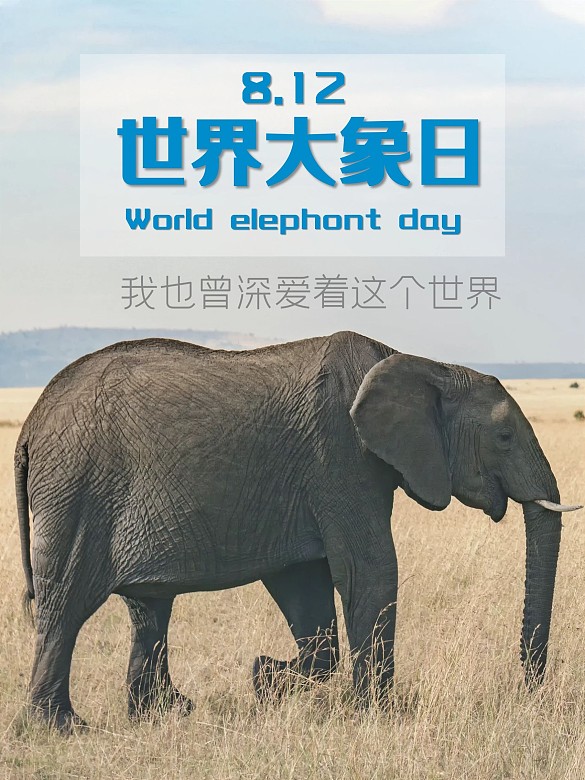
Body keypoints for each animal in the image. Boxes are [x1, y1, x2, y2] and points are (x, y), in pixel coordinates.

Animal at [15, 330, 581, 730]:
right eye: (504, 437)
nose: (527, 691)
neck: (423, 364)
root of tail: (30, 424)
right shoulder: (341, 454)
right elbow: (370, 570)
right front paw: (376, 716)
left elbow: (305, 584)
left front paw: (265, 678)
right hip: (77, 491)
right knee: (65, 605)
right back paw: (63, 728)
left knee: (148, 609)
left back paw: (166, 713)